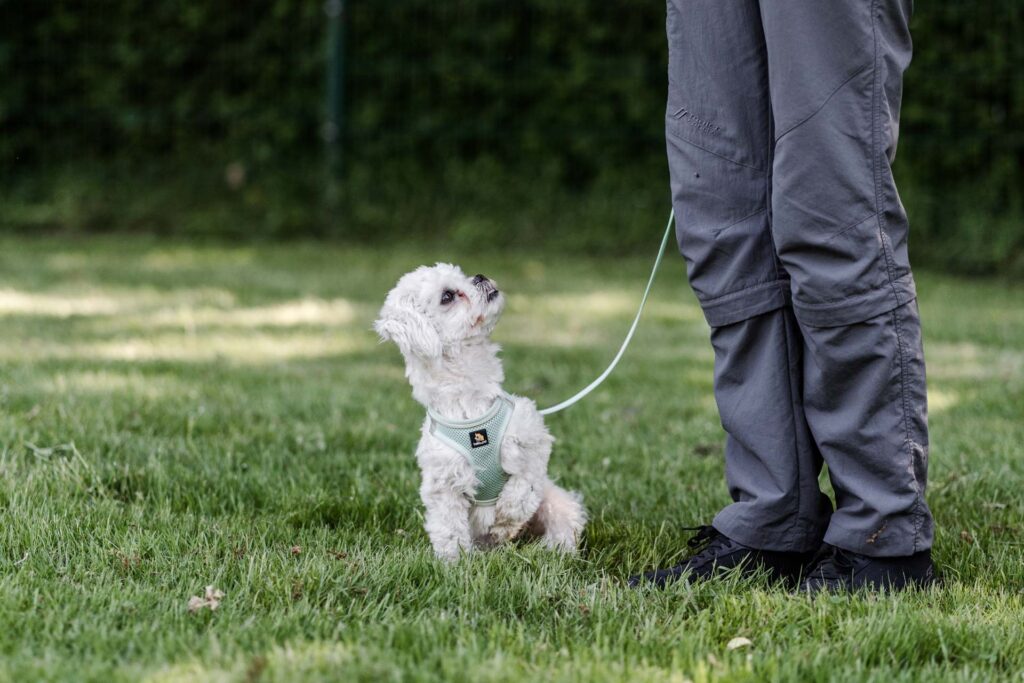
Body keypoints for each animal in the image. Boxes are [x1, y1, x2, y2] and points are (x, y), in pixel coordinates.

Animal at [374, 264, 585, 561]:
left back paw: (555, 549)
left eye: (462, 274)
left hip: (556, 502)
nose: (480, 277)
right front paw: (454, 562)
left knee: (563, 522)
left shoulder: (533, 443)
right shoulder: (444, 484)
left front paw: (506, 518)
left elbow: (523, 487)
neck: (469, 404)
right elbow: (449, 528)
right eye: (448, 296)